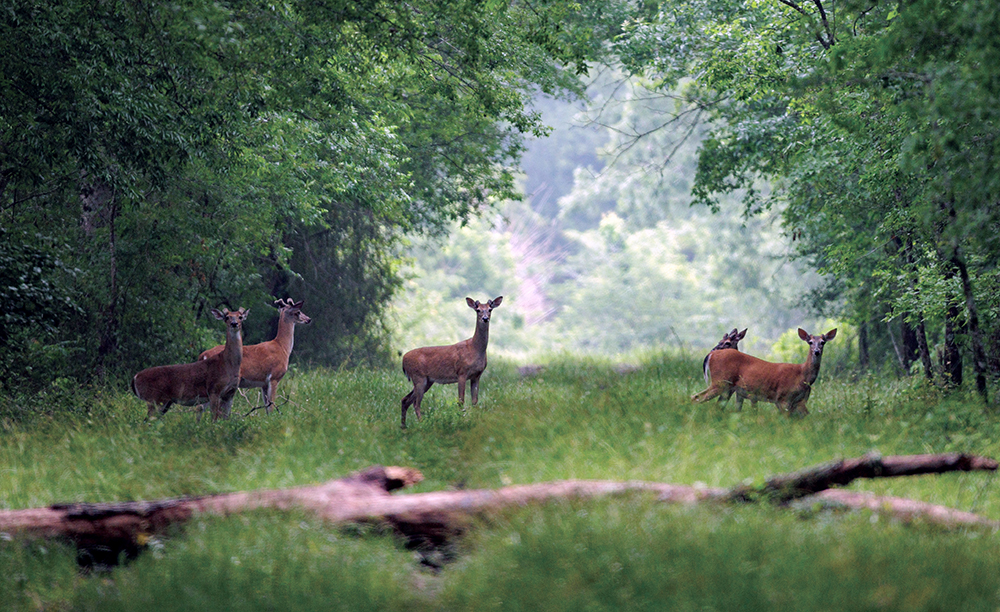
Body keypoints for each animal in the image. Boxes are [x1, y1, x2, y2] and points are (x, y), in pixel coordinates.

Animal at [400, 296, 503, 429]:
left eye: (490, 309)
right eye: (478, 310)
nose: (485, 318)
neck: (475, 348)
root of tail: (403, 360)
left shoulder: (477, 375)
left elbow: (475, 401)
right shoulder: (462, 372)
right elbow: (461, 400)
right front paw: (461, 420)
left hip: (427, 381)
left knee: (405, 400)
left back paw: (403, 426)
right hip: (418, 377)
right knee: (416, 403)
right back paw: (422, 424)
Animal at [692, 328, 837, 416]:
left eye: (823, 342)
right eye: (810, 342)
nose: (817, 351)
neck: (803, 375)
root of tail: (711, 355)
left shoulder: (799, 402)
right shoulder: (782, 398)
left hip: (724, 386)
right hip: (720, 382)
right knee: (696, 397)